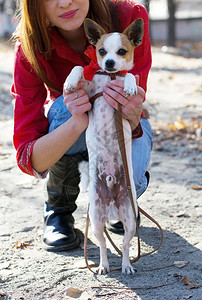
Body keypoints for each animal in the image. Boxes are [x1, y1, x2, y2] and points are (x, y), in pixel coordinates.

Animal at [64, 17, 144, 274]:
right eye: (101, 51)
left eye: (122, 51)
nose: (109, 62)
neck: (110, 77)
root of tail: (111, 206)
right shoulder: (89, 93)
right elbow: (79, 68)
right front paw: (70, 81)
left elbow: (131, 75)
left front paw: (129, 84)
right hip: (96, 220)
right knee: (101, 246)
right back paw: (102, 266)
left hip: (129, 219)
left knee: (126, 245)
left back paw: (127, 265)